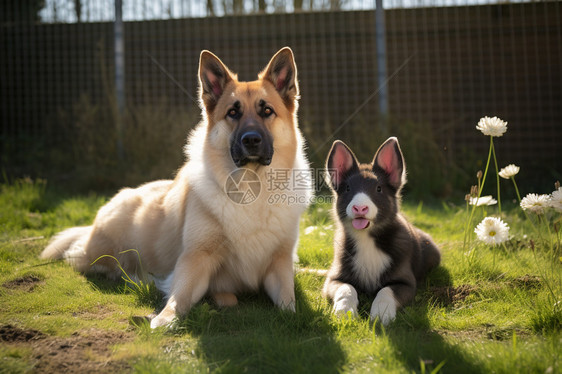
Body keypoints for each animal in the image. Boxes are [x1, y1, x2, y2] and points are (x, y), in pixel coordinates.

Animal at [322, 137, 440, 324]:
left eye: (378, 189)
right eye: (348, 189)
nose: (359, 208)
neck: (367, 239)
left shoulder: (405, 283)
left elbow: (386, 291)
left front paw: (381, 312)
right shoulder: (333, 279)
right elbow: (346, 288)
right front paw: (344, 310)